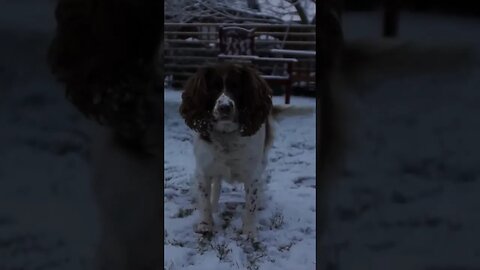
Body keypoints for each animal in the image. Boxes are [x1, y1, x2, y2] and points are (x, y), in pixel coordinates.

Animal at [179, 62, 284, 236]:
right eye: (213, 88)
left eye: (236, 87)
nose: (225, 107)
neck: (226, 135)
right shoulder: (204, 169)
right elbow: (205, 199)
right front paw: (206, 223)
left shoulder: (252, 174)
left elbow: (251, 203)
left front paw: (249, 231)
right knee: (217, 184)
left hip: (262, 160)